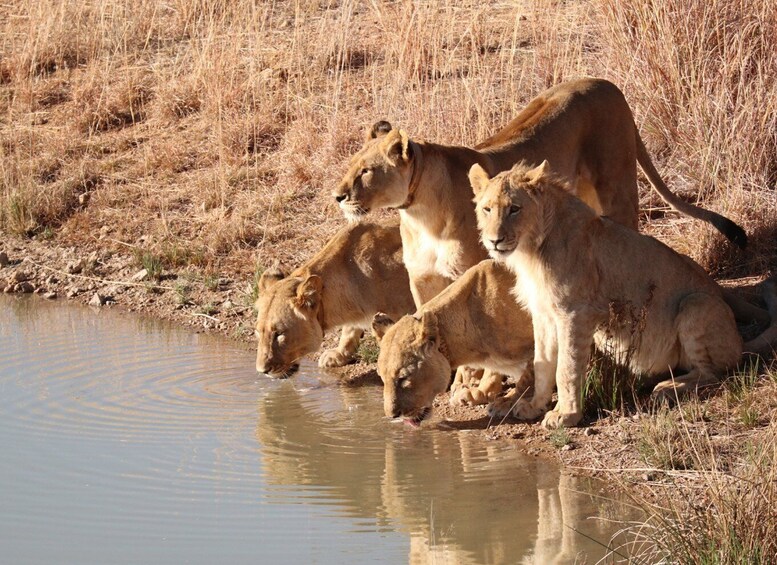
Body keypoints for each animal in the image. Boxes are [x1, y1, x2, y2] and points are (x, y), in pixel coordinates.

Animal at [333, 78, 748, 311]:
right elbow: (424, 317)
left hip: (616, 185)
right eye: (351, 165)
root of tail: (606, 82)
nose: (337, 196)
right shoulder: (422, 278)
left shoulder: (475, 268)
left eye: (366, 171)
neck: (420, 214)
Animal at [371, 260, 534, 426]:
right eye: (382, 377)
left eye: (403, 378)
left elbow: (528, 377)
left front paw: (509, 402)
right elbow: (493, 371)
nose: (392, 415)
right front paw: (482, 392)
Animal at [470, 160, 776, 429]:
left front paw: (566, 415)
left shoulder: (576, 313)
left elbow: (566, 367)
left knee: (714, 373)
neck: (530, 249)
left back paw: (667, 387)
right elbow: (543, 363)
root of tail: (739, 341)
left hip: (696, 303)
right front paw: (534, 406)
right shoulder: (544, 314)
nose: (494, 240)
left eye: (514, 209)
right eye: (487, 209)